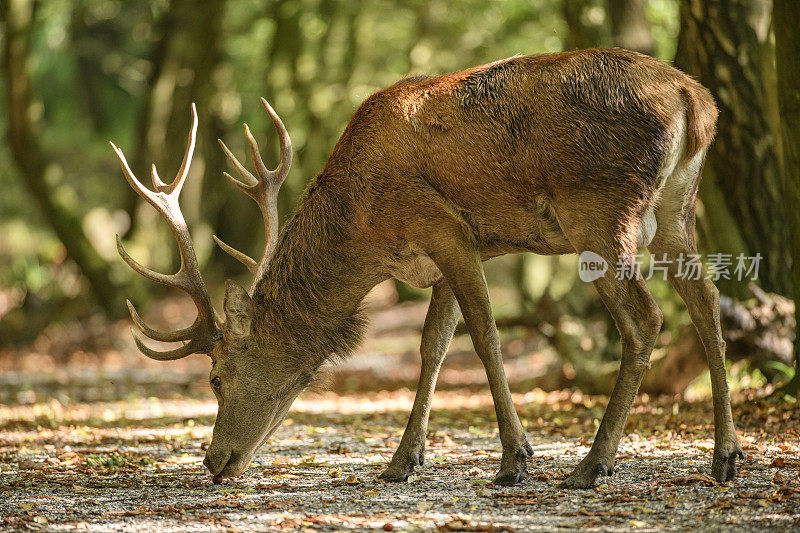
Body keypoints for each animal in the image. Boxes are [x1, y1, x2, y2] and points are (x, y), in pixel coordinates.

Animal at [112, 48, 744, 486]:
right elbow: (433, 347)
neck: (367, 229)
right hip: (675, 209)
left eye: (216, 377)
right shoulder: (440, 260)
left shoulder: (447, 229)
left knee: (645, 319)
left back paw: (593, 464)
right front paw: (402, 461)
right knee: (707, 299)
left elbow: (484, 336)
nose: (213, 460)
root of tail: (694, 99)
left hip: (601, 211)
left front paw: (515, 458)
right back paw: (725, 455)